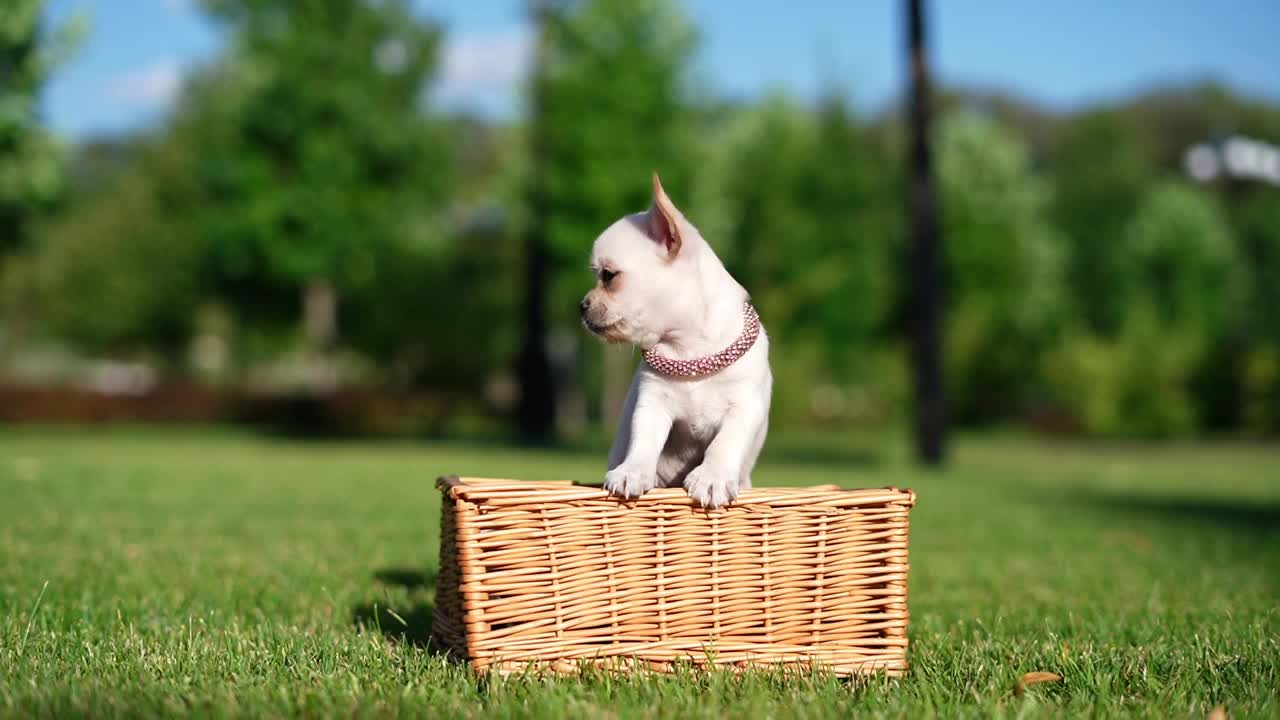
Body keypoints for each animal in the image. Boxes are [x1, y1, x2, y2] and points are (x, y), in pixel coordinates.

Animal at [581, 172, 768, 504]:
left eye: (608, 276)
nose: (582, 306)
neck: (688, 349)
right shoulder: (652, 404)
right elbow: (644, 442)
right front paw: (632, 471)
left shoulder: (745, 406)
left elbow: (725, 443)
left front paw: (712, 477)